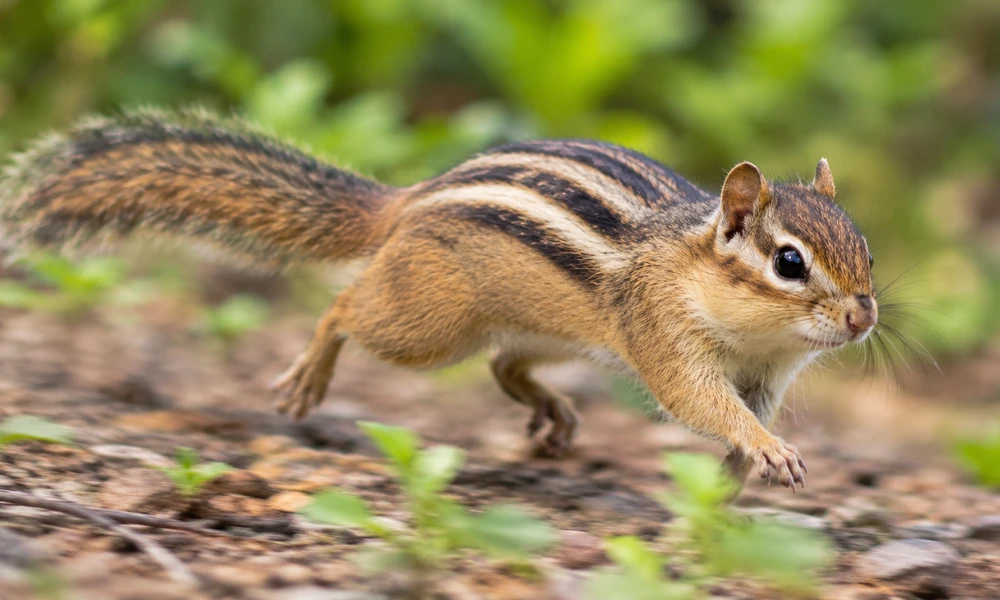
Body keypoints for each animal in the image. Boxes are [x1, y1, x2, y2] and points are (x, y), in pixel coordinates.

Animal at [0, 108, 878, 492]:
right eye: (790, 263)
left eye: (866, 249)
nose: (865, 316)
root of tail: (410, 198)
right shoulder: (663, 335)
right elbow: (702, 402)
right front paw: (763, 451)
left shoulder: (765, 374)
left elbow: (747, 414)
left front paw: (741, 471)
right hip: (427, 325)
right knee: (347, 309)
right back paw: (310, 374)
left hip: (542, 329)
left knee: (504, 367)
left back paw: (552, 415)